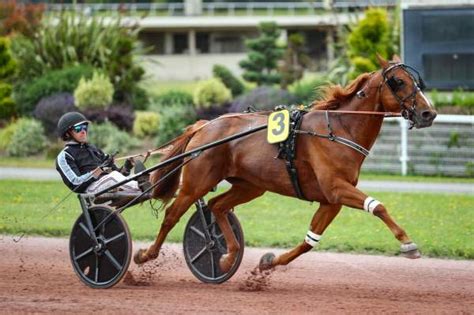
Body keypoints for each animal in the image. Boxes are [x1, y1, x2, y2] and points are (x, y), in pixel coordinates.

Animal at [133, 55, 436, 274]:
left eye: (416, 81)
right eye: (398, 81)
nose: (428, 113)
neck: (338, 129)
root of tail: (204, 126)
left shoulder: (331, 200)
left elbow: (309, 241)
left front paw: (268, 264)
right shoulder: (336, 189)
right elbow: (379, 206)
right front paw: (408, 244)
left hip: (251, 186)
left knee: (217, 205)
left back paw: (228, 257)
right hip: (197, 182)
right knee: (172, 215)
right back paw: (145, 254)